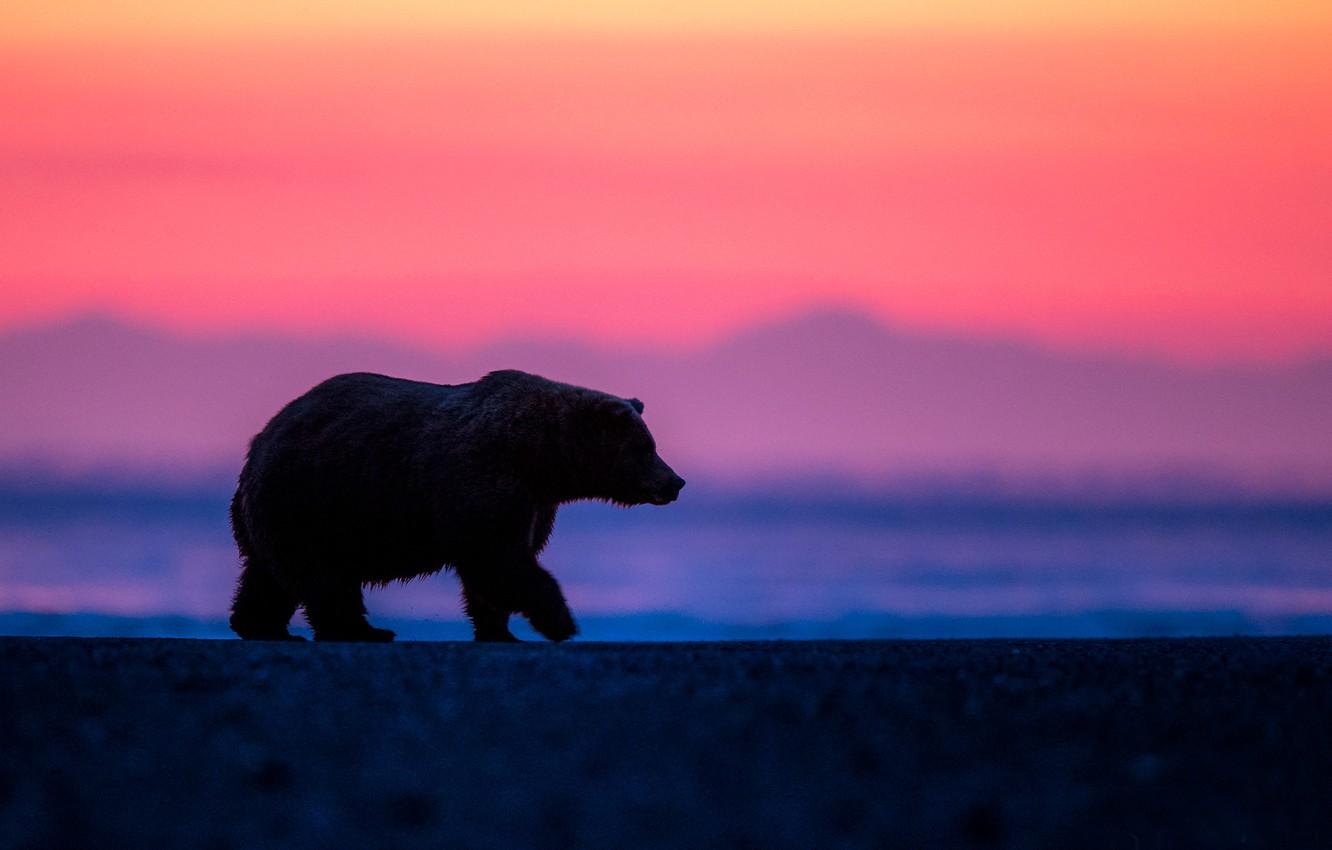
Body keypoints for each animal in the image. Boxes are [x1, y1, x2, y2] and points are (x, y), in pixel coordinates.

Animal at [228, 370, 685, 642]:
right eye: (646, 448)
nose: (675, 482)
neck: (541, 458)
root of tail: (261, 440)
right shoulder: (484, 478)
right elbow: (501, 560)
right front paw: (560, 621)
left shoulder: (533, 501)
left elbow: (497, 567)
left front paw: (500, 629)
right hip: (315, 499)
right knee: (324, 577)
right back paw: (358, 630)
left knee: (269, 574)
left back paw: (262, 625)